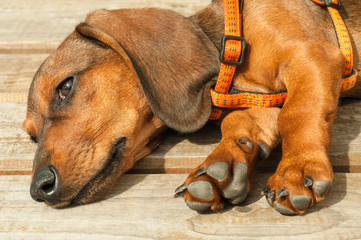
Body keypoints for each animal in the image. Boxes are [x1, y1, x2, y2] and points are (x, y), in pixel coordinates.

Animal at [23, 0, 358, 215]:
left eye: (65, 87)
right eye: (31, 137)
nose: (38, 189)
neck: (231, 47)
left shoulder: (310, 55)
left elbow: (298, 114)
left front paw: (298, 168)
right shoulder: (261, 99)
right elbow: (239, 126)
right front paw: (220, 168)